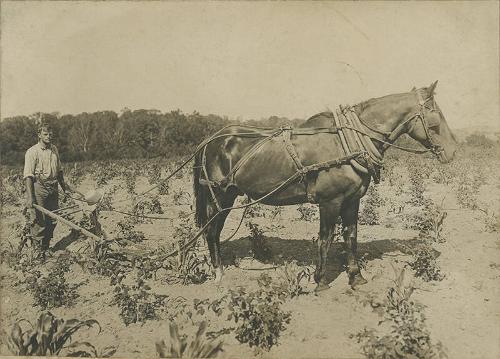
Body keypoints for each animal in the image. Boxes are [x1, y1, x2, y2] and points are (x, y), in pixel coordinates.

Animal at [191, 82, 458, 292]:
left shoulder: (352, 200)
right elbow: (325, 239)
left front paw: (356, 277)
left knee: (213, 232)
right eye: (436, 115)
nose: (453, 151)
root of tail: (210, 140)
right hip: (219, 197)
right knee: (211, 232)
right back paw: (219, 274)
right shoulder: (330, 202)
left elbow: (351, 237)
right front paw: (320, 280)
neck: (345, 144)